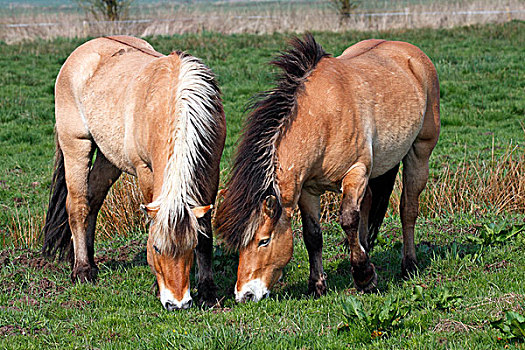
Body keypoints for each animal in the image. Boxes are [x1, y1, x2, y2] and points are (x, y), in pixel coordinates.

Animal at [42, 34, 226, 308]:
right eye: (156, 248)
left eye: (190, 247)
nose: (177, 303)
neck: (175, 100)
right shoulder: (145, 171)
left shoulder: (211, 170)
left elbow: (205, 230)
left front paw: (207, 289)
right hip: (75, 145)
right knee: (77, 206)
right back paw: (83, 270)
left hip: (109, 158)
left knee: (93, 201)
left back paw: (92, 263)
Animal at [215, 36, 440, 304]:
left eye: (263, 241)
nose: (244, 295)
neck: (322, 118)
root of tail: (412, 53)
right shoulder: (307, 190)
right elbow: (313, 235)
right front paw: (317, 285)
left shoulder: (356, 172)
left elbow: (348, 219)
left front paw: (365, 278)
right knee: (368, 204)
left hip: (419, 152)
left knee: (408, 208)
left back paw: (409, 265)